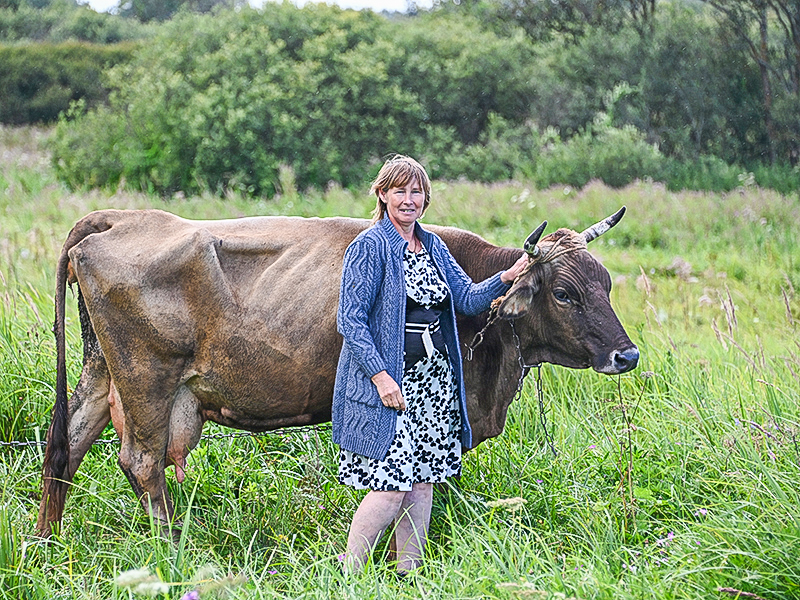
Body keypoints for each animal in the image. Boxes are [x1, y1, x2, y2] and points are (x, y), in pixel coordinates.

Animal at [36, 209, 636, 536]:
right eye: (565, 293)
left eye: (607, 284)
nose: (626, 356)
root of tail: (123, 218)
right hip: (147, 381)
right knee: (141, 462)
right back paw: (171, 550)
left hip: (101, 373)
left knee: (66, 444)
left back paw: (47, 543)